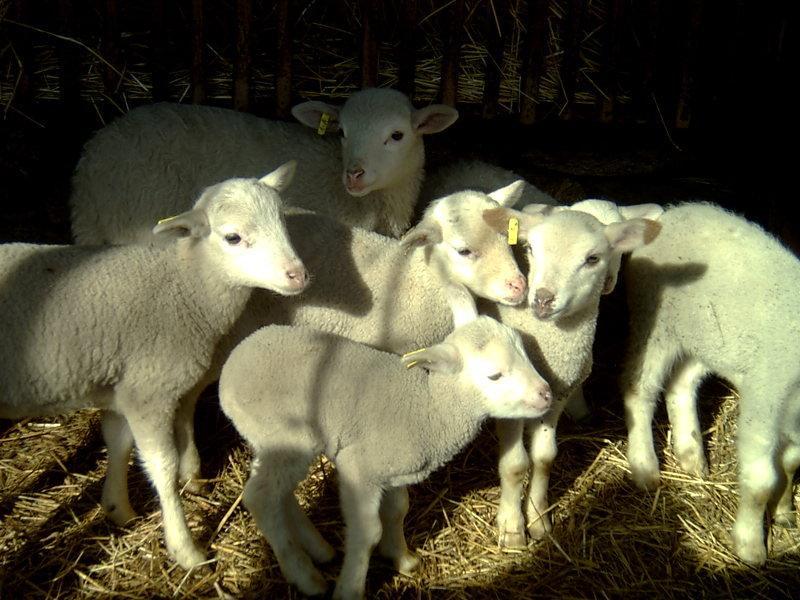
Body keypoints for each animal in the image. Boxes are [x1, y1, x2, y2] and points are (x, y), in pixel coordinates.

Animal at [0, 163, 308, 568]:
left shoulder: (123, 385)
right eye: (233, 237)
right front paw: (185, 549)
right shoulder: (149, 390)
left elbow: (118, 442)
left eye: (283, 223)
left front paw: (118, 509)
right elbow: (162, 467)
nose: (299, 275)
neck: (186, 285)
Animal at [219, 288, 552, 600]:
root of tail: (231, 367)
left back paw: (318, 548)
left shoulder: (393, 471)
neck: (428, 406)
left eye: (524, 350)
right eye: (494, 375)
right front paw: (350, 588)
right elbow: (368, 532)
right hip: (286, 437)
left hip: (267, 440)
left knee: (278, 492)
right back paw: (305, 575)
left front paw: (401, 558)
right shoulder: (360, 467)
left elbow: (398, 510)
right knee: (260, 497)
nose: (546, 394)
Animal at [478, 202, 660, 548]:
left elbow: (544, 457)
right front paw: (512, 528)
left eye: (594, 258)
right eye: (530, 249)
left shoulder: (556, 393)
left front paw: (538, 518)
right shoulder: (507, 400)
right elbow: (515, 465)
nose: (543, 299)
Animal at [620, 204, 800, 564]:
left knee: (681, 386)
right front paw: (750, 545)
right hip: (655, 325)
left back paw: (691, 456)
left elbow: (790, 464)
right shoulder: (765, 400)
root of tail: (667, 215)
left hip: (703, 338)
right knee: (639, 390)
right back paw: (645, 466)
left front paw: (784, 511)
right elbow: (761, 481)